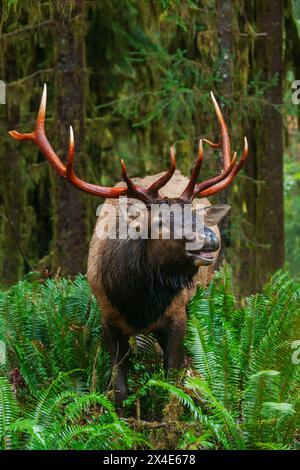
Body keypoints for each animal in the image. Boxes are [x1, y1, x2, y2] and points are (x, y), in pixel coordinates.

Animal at [9, 84, 248, 412]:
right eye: (160, 221)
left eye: (196, 215)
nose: (210, 239)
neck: (138, 301)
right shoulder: (108, 317)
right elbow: (118, 387)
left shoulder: (177, 315)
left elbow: (171, 380)